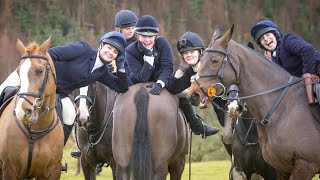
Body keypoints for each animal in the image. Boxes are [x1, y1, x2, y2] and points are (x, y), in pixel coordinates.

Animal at [0, 37, 64, 179]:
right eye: (18, 72)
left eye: (40, 71)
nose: (23, 112)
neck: (35, 131)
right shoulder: (9, 169)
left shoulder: (52, 171)